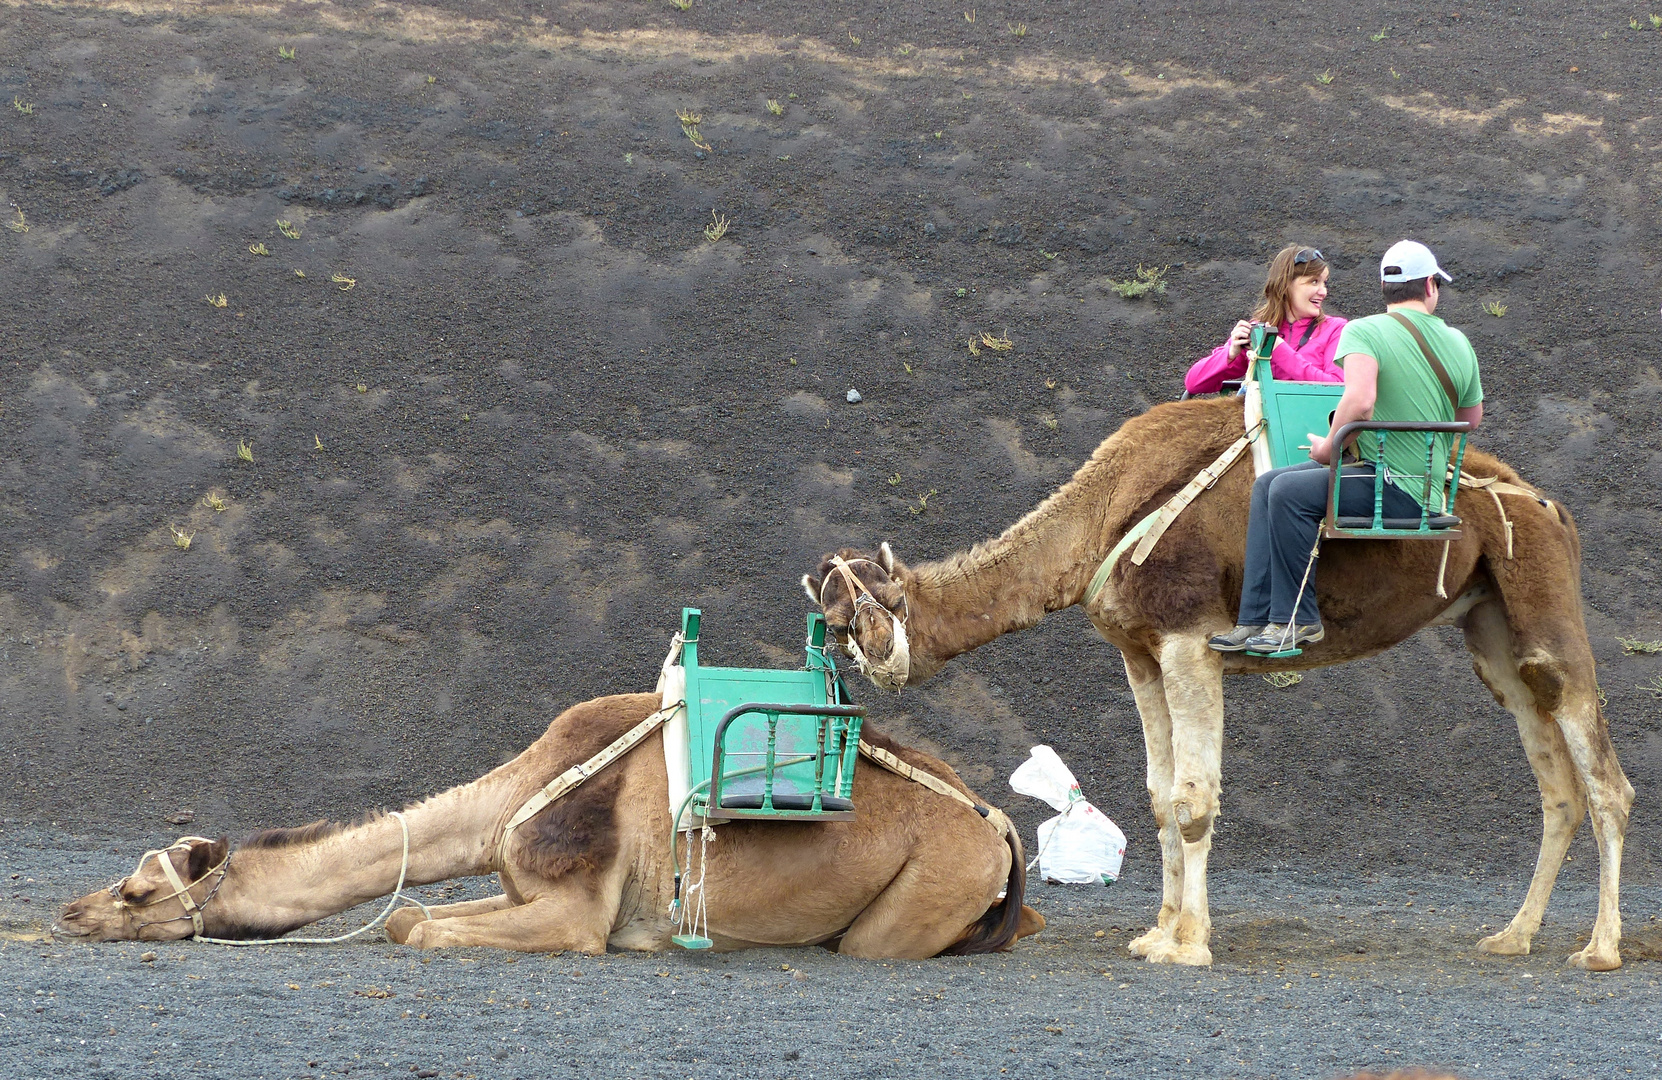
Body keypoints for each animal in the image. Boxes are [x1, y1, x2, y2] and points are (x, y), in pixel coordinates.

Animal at [55, 694, 1037, 957]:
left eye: (135, 890)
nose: (68, 913)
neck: (510, 804)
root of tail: (998, 828)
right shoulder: (525, 887)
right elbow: (414, 916)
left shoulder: (576, 913)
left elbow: (420, 927)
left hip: (922, 889)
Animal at [804, 393, 1635, 970]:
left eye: (849, 621)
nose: (855, 679)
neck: (1104, 518)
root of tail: (1551, 506)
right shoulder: (1140, 653)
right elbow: (1156, 796)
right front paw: (1154, 934)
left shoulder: (1189, 640)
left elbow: (1192, 797)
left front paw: (1190, 945)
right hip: (1490, 627)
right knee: (1556, 785)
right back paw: (1513, 936)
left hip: (1545, 602)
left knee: (1605, 781)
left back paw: (1599, 949)